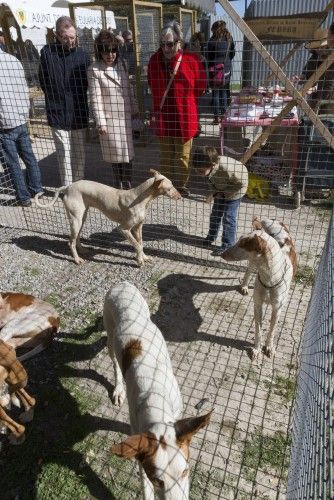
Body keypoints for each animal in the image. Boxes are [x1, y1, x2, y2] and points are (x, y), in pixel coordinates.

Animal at [34, 171, 180, 268]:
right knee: (70, 242)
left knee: (76, 238)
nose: (180, 196)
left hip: (81, 218)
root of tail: (68, 187)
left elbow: (141, 243)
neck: (140, 198)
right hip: (76, 220)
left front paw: (143, 257)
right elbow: (137, 245)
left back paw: (82, 250)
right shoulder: (123, 229)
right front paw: (139, 261)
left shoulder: (138, 228)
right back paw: (77, 259)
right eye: (170, 188)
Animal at [103, 284, 211, 498]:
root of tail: (121, 285)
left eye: (185, 472)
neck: (155, 398)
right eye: (157, 481)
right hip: (110, 336)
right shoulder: (140, 453)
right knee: (115, 363)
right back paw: (118, 388)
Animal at [222, 218, 298, 360]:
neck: (269, 278)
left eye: (242, 244)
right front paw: (257, 349)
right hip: (252, 264)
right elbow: (258, 330)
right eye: (238, 240)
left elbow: (272, 330)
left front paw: (269, 347)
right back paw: (244, 286)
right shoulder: (257, 305)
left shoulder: (277, 308)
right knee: (248, 272)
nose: (221, 253)